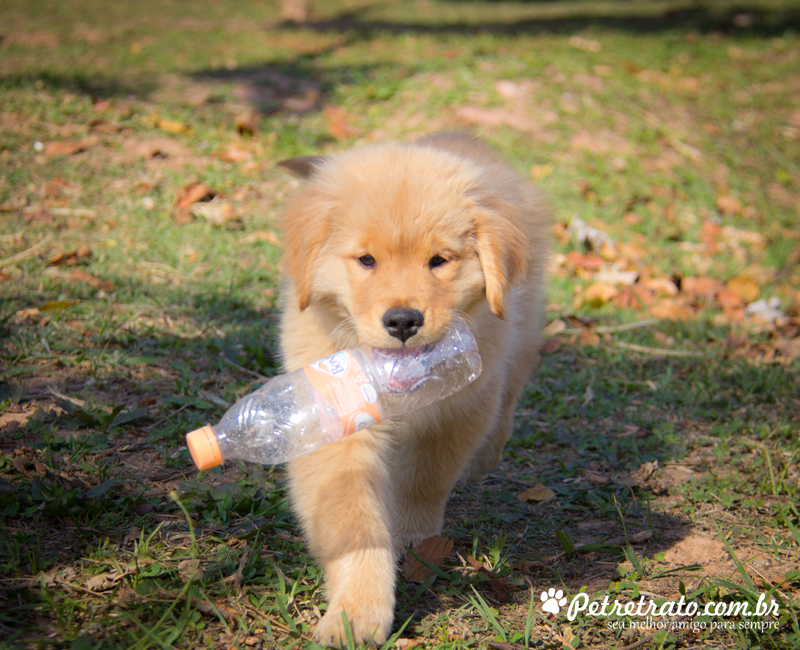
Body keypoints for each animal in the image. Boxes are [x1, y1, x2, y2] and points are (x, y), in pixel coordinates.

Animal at [278, 133, 548, 644]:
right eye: (366, 260)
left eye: (438, 261)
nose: (403, 321)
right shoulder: (338, 425)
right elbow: (353, 520)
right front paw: (356, 611)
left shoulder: (459, 410)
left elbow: (426, 479)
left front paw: (413, 535)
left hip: (520, 332)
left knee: (507, 398)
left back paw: (486, 457)